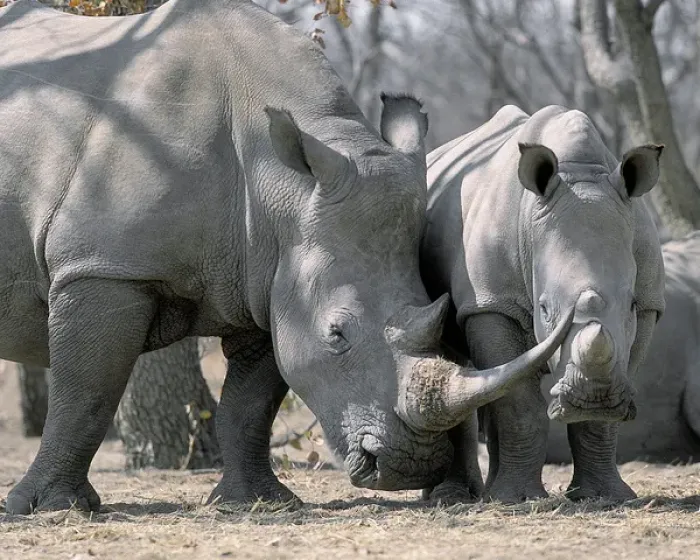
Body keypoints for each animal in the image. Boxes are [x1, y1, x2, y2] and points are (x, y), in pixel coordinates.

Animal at [0, 1, 573, 514]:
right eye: (337, 335)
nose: (410, 466)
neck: (278, 182)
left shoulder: (270, 275)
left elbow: (252, 403)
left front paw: (257, 502)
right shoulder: (103, 267)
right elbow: (86, 392)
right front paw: (51, 508)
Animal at [421, 105, 665, 503]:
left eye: (629, 307)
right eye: (545, 309)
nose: (593, 397)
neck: (581, 174)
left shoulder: (648, 304)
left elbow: (606, 404)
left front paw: (606, 496)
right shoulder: (492, 301)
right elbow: (517, 402)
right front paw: (517, 499)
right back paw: (455, 497)